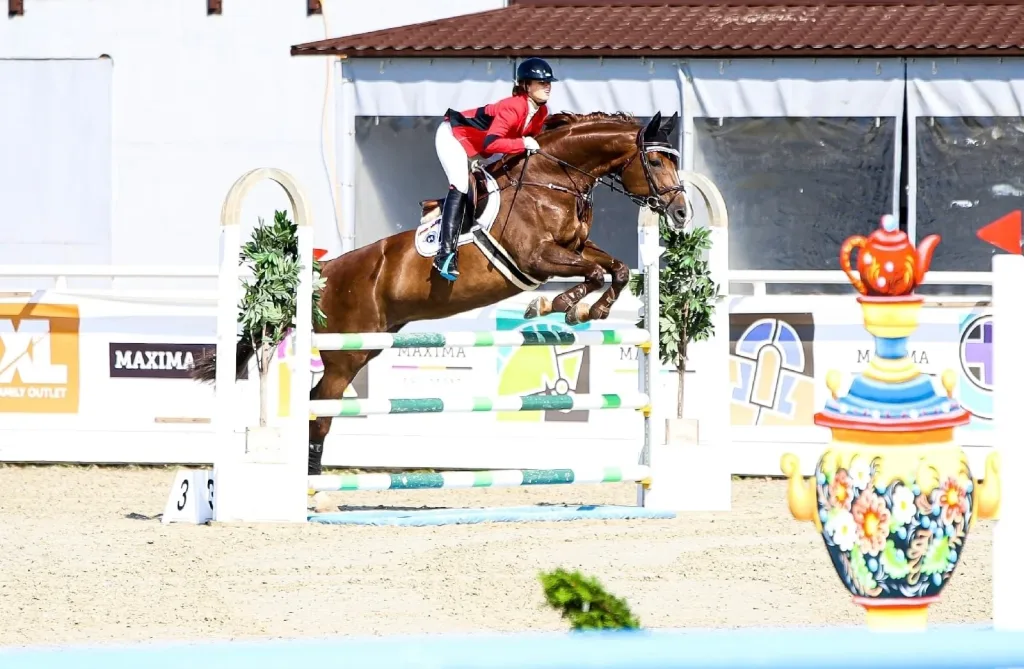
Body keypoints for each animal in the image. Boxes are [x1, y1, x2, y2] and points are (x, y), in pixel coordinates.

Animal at [193, 110, 691, 475]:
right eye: (657, 161)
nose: (682, 213)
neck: (554, 178)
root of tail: (325, 272)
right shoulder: (537, 257)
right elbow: (593, 273)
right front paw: (559, 305)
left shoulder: (575, 248)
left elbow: (617, 269)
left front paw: (578, 309)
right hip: (345, 352)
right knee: (321, 402)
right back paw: (311, 478)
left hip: (370, 344)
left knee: (322, 401)